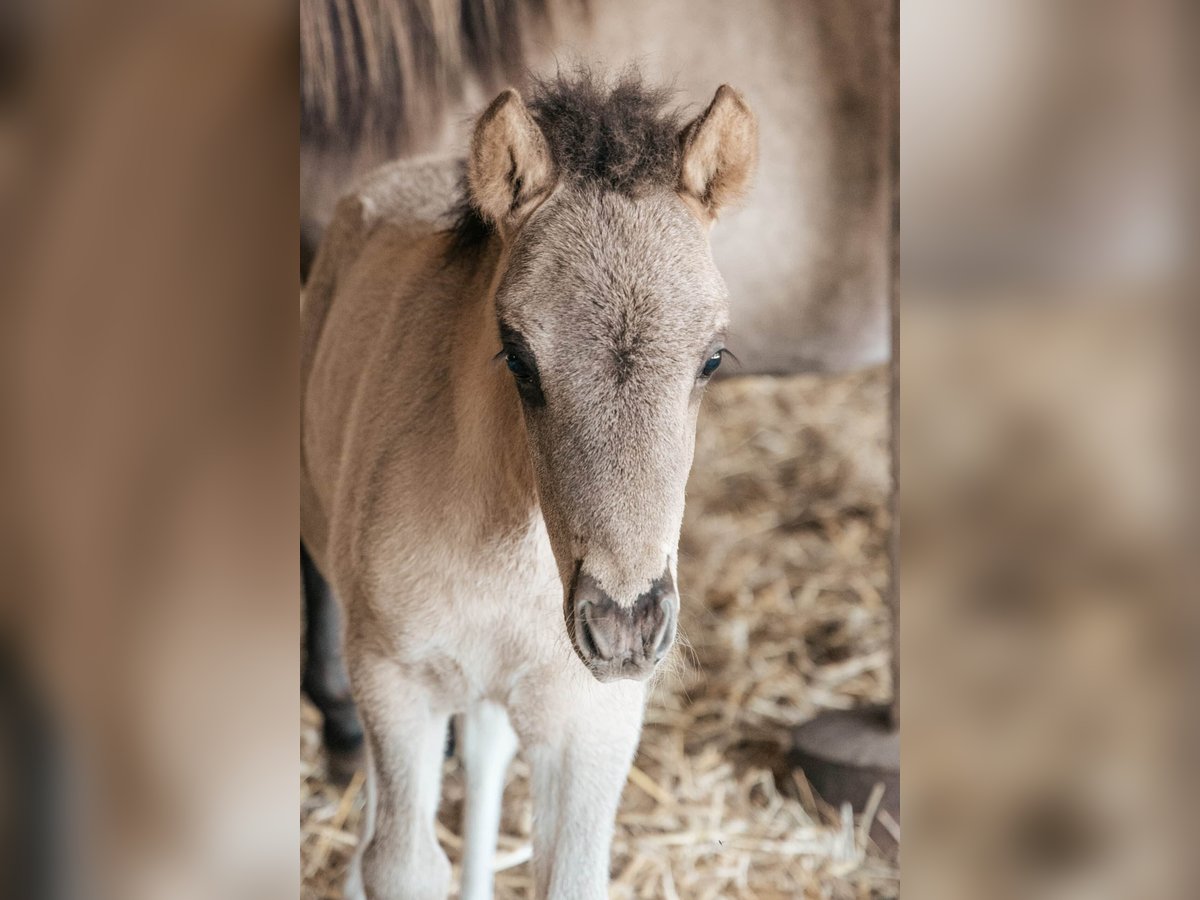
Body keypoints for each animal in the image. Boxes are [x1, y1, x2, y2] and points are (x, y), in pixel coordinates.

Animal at [300, 72, 757, 899]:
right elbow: (401, 861)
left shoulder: (594, 717)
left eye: (712, 358)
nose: (625, 627)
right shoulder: (395, 677)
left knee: (485, 748)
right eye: (517, 357)